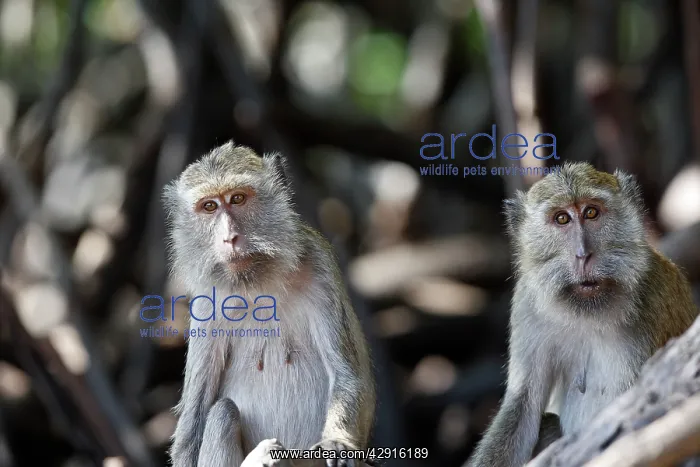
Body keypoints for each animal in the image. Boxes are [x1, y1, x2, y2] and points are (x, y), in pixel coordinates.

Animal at [163, 142, 376, 467]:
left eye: (238, 198)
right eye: (209, 207)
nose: (229, 238)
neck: (258, 286)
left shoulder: (321, 264)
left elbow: (347, 377)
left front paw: (337, 442)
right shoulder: (206, 300)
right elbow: (194, 423)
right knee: (223, 413)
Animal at [467, 162, 699, 467]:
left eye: (591, 213)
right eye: (562, 219)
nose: (583, 254)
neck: (589, 313)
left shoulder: (655, 298)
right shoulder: (527, 303)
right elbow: (522, 405)